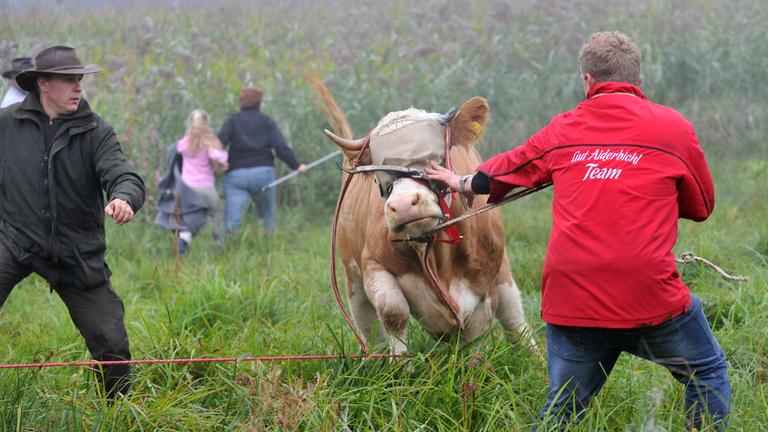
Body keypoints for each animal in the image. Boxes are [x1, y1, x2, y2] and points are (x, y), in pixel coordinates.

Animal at [325, 96, 533, 354]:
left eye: (433, 159)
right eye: (378, 174)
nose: (403, 205)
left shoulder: (485, 287)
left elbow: (476, 337)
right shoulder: (373, 264)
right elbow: (393, 311)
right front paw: (399, 364)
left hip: (502, 272)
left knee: (513, 315)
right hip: (352, 277)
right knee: (370, 328)